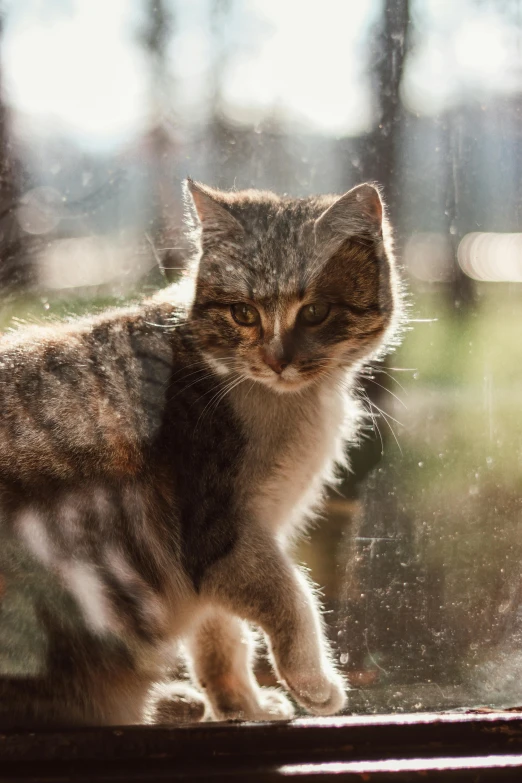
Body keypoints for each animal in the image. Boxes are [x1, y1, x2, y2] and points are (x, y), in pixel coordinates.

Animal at [0, 179, 400, 728]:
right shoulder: (219, 532)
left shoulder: (220, 560)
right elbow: (292, 598)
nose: (277, 360)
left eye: (315, 312)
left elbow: (221, 640)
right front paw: (314, 685)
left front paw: (241, 707)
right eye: (243, 313)